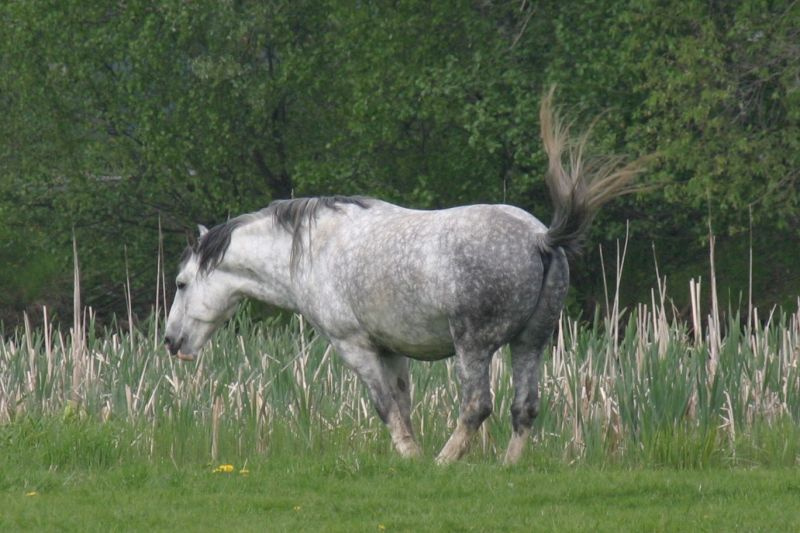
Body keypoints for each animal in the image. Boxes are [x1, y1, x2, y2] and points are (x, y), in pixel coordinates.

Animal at [164, 88, 646, 464]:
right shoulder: (391, 350)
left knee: (476, 406)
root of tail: (541, 238)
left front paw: (414, 459)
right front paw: (409, 457)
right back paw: (506, 467)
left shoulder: (355, 347)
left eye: (181, 284)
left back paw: (444, 462)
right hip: (531, 344)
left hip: (474, 348)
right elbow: (403, 405)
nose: (170, 341)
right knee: (523, 409)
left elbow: (385, 407)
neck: (313, 249)